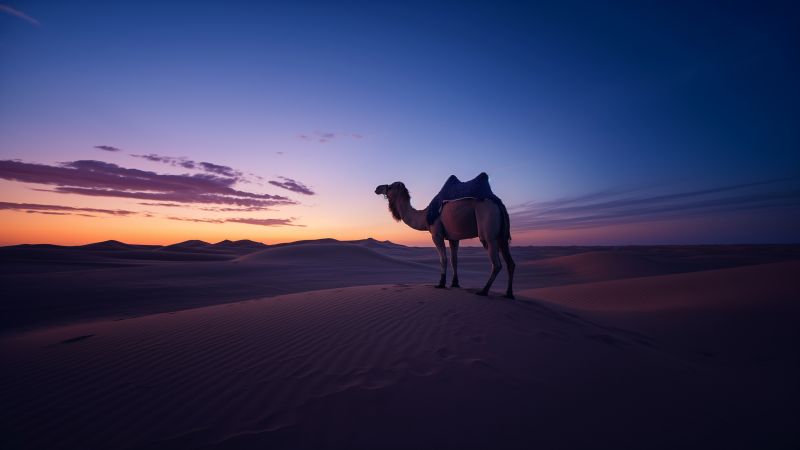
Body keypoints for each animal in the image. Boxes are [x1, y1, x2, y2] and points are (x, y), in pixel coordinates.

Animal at [375, 179, 515, 299]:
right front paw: (455, 283)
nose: (377, 188)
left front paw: (441, 284)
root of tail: (499, 205)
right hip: (502, 237)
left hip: (488, 229)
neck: (424, 216)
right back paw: (508, 294)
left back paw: (483, 291)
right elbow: (454, 260)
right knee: (510, 263)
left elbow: (443, 259)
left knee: (496, 264)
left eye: (390, 187)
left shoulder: (437, 233)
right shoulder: (454, 238)